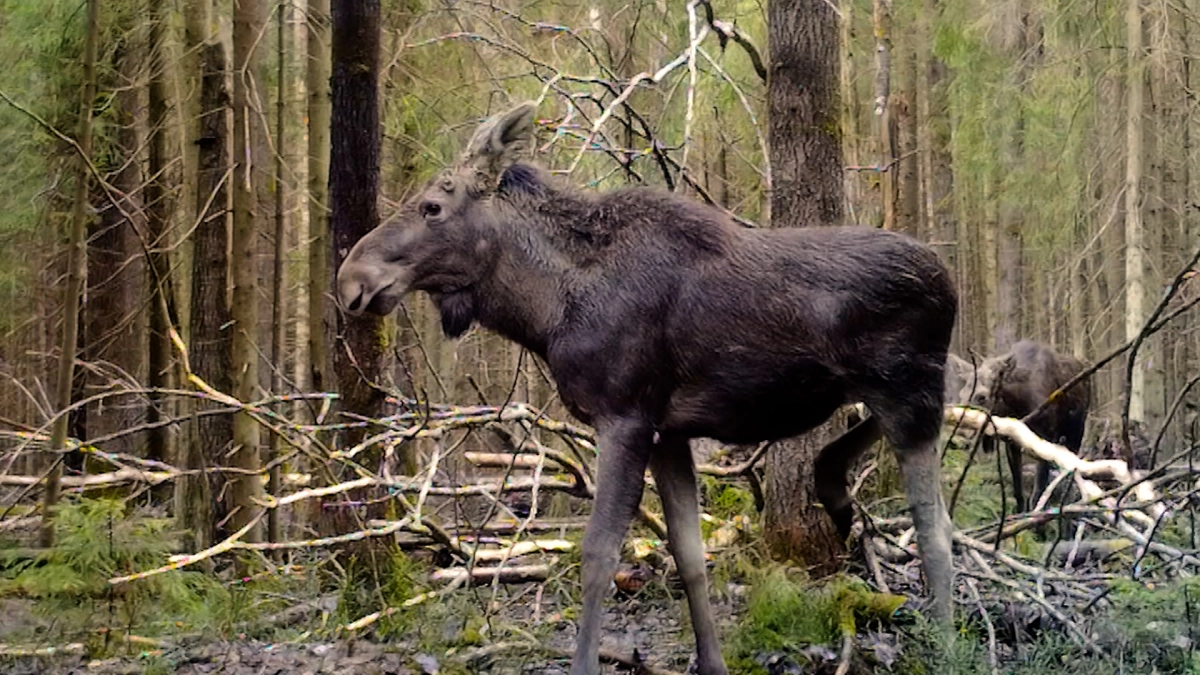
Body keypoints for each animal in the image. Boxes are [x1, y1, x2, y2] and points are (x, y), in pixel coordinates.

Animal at [336, 100, 955, 672]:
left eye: (432, 206)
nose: (350, 279)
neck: (546, 308)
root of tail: (950, 282)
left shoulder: (624, 417)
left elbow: (598, 556)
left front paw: (585, 663)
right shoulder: (669, 432)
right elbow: (690, 556)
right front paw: (712, 662)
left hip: (907, 386)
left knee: (937, 528)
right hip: (891, 387)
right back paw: (834, 486)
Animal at [950, 338, 1094, 511]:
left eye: (982, 397)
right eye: (961, 395)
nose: (958, 438)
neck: (1019, 403)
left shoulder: (1047, 437)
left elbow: (1038, 493)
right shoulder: (1011, 442)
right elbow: (1018, 492)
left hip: (1076, 432)